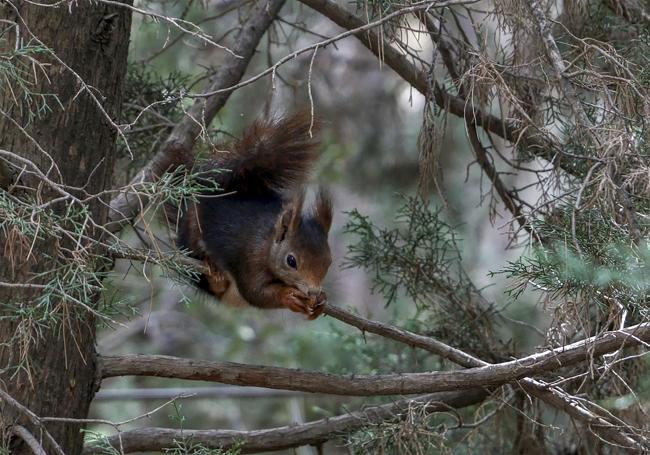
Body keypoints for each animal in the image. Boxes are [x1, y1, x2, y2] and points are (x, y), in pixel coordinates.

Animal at [167, 114, 332, 320]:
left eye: (329, 261)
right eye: (291, 261)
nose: (313, 292)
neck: (268, 244)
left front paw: (321, 301)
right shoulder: (250, 259)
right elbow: (255, 292)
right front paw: (289, 296)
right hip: (192, 237)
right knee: (209, 283)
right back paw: (214, 272)